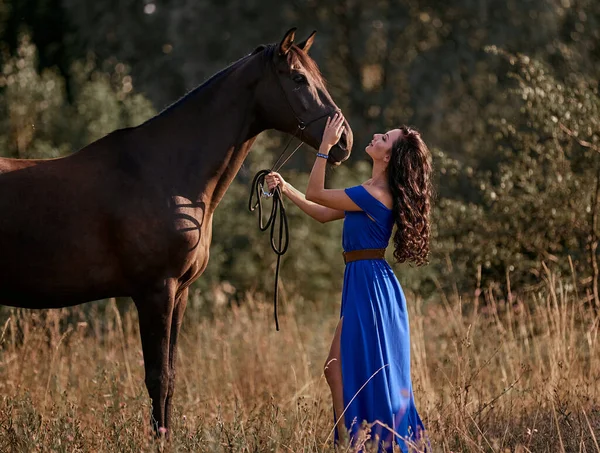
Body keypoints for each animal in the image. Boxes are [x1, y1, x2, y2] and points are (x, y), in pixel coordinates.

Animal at [0, 29, 352, 434]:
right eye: (298, 78)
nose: (344, 142)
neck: (166, 173)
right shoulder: (156, 290)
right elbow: (158, 378)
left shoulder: (179, 292)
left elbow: (171, 376)